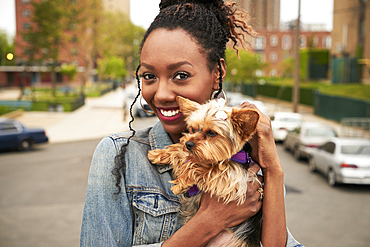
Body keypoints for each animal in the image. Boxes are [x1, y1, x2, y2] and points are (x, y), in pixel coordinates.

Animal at [147, 95, 264, 246]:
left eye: (211, 133)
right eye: (192, 129)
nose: (188, 144)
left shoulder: (233, 179)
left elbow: (203, 166)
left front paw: (180, 183)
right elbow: (181, 151)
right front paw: (158, 154)